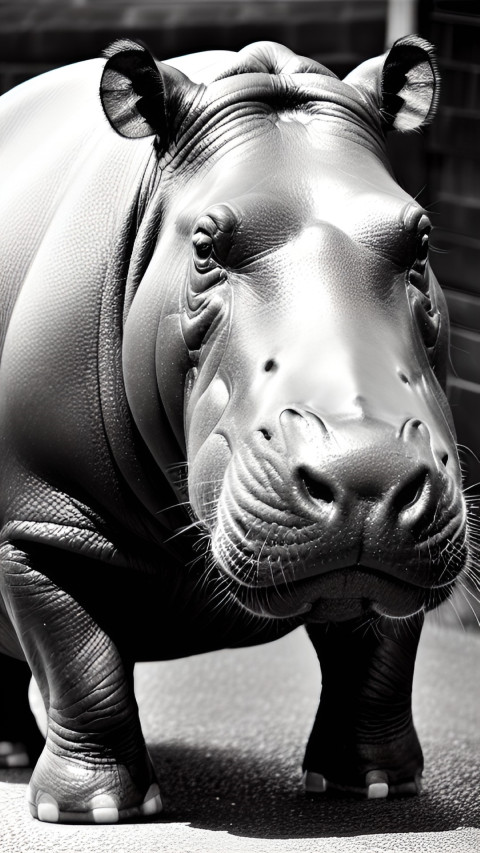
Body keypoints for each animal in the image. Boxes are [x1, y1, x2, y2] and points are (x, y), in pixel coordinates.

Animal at [0, 35, 468, 824]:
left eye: (423, 238)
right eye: (203, 247)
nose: (367, 470)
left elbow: (382, 648)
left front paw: (374, 786)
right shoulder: (41, 516)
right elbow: (77, 658)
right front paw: (95, 812)